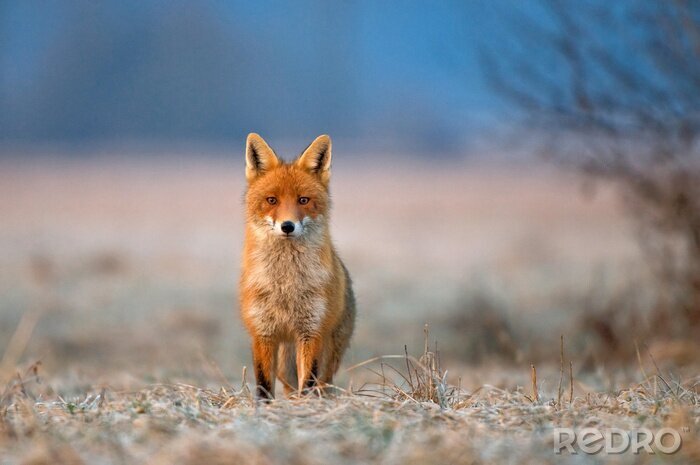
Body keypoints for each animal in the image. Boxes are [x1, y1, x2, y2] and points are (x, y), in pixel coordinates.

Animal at [239, 133, 356, 400]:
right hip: (285, 364)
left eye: (303, 200)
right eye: (271, 200)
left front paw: (306, 407)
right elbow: (263, 383)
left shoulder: (311, 331)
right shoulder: (262, 332)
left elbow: (308, 381)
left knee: (322, 383)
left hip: (328, 354)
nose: (287, 226)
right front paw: (264, 407)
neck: (285, 285)